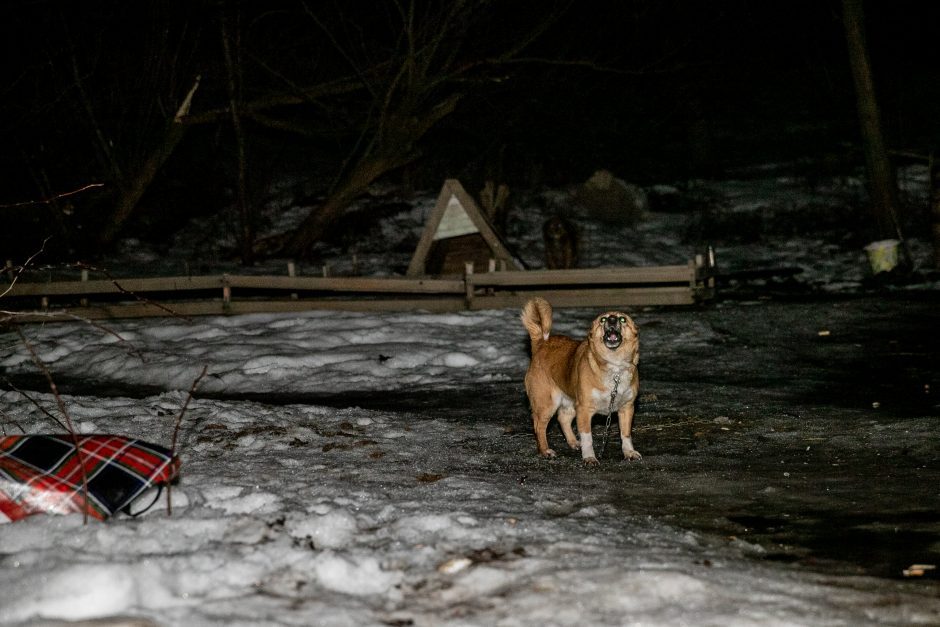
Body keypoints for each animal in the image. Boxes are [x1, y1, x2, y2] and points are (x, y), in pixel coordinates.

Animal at [520, 296, 640, 464]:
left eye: (623, 319)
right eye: (603, 319)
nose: (612, 319)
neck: (614, 367)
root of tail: (541, 343)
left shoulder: (627, 408)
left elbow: (626, 434)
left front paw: (629, 452)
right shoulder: (584, 409)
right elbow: (587, 437)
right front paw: (589, 457)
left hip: (570, 402)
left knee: (563, 418)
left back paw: (573, 443)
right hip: (547, 404)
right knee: (539, 426)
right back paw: (545, 451)